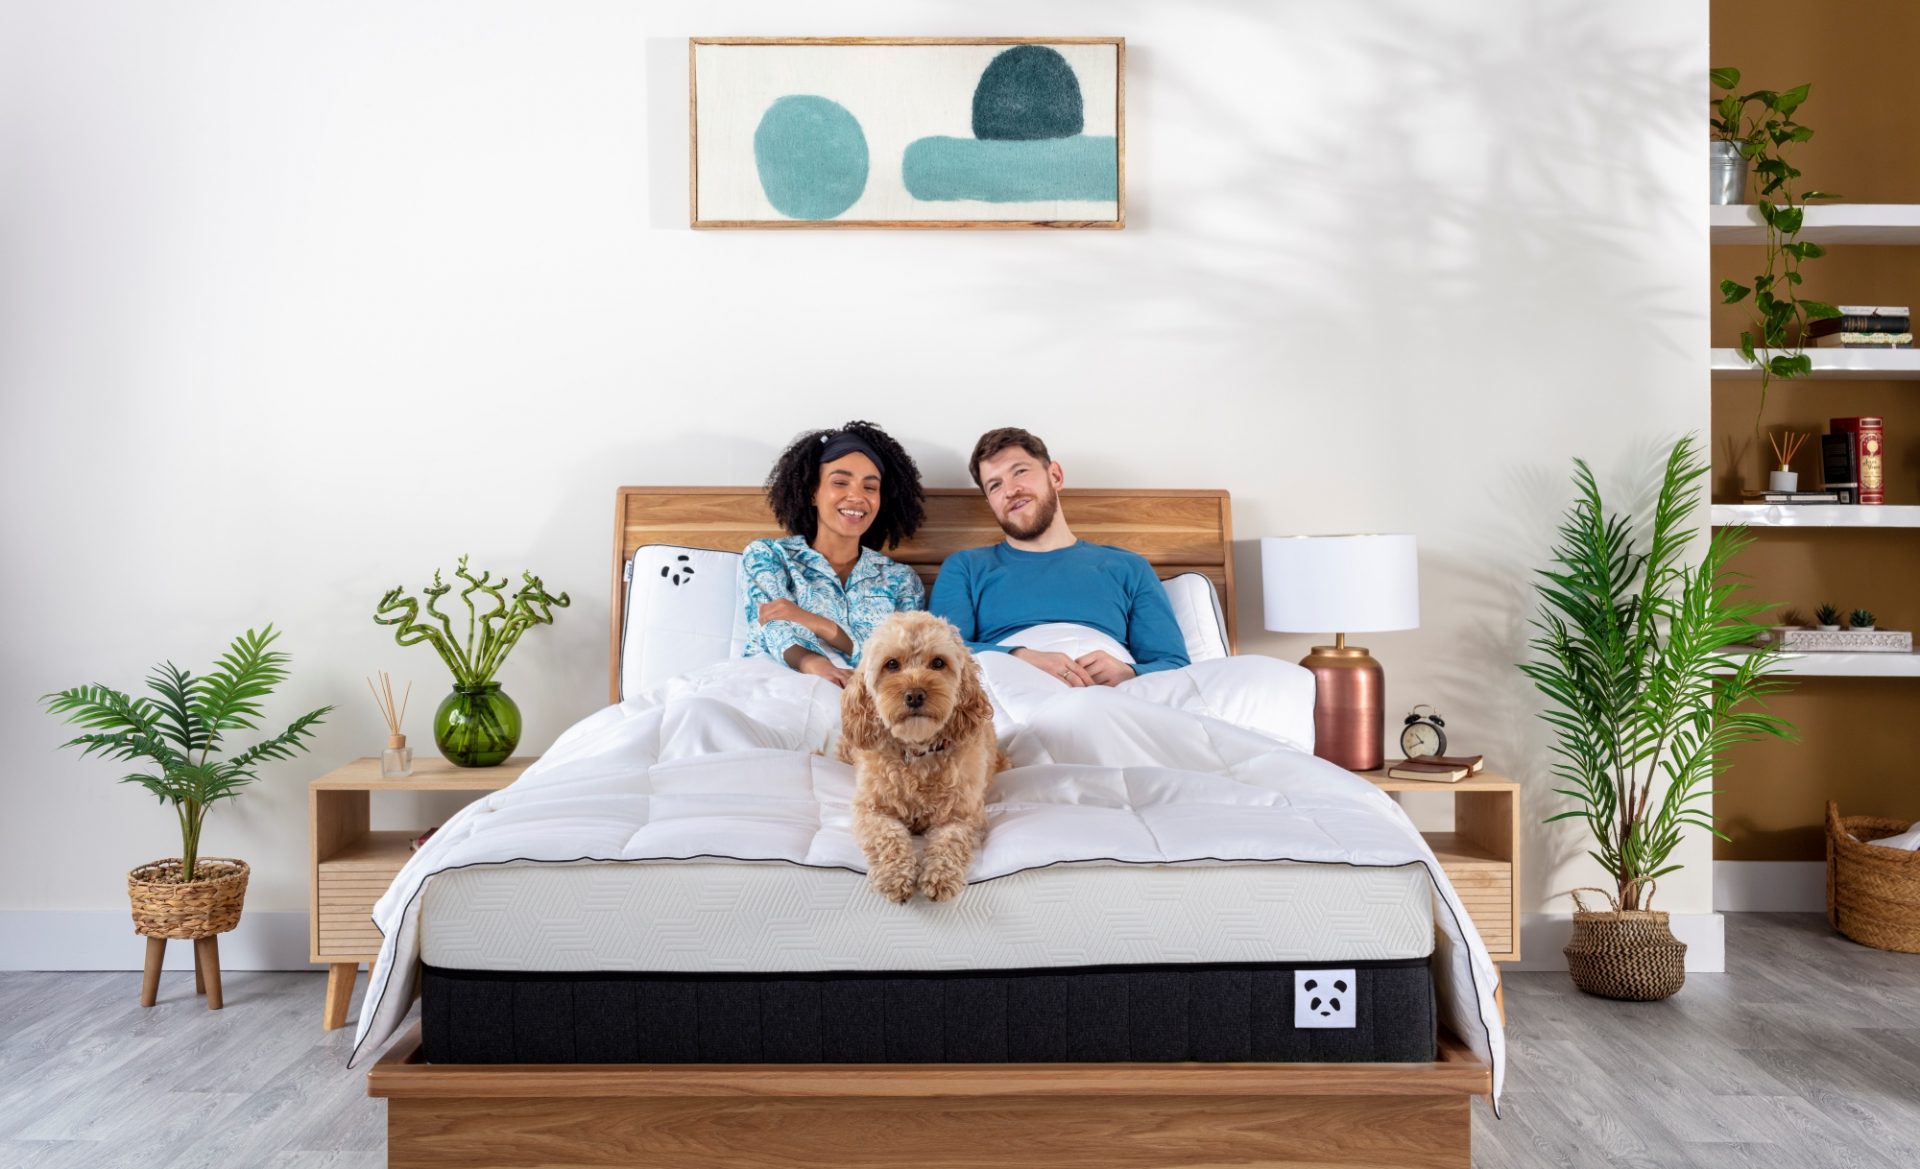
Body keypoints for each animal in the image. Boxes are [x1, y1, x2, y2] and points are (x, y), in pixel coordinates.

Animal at [844, 610, 1013, 902]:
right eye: (891, 664)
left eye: (938, 663)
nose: (914, 695)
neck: (917, 753)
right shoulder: (871, 810)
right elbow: (888, 836)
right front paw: (896, 876)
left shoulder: (964, 815)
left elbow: (950, 842)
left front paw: (939, 875)